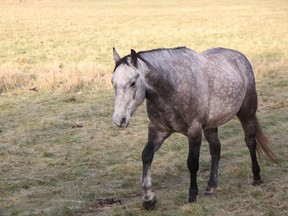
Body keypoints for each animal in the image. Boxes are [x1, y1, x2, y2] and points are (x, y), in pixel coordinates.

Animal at [111, 46, 278, 209]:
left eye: (132, 83)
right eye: (113, 83)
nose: (119, 119)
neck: (173, 88)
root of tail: (240, 56)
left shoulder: (194, 132)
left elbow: (192, 163)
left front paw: (192, 195)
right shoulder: (158, 130)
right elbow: (146, 156)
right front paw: (148, 199)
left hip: (246, 113)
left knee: (250, 142)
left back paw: (256, 178)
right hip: (211, 126)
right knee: (216, 149)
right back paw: (211, 186)